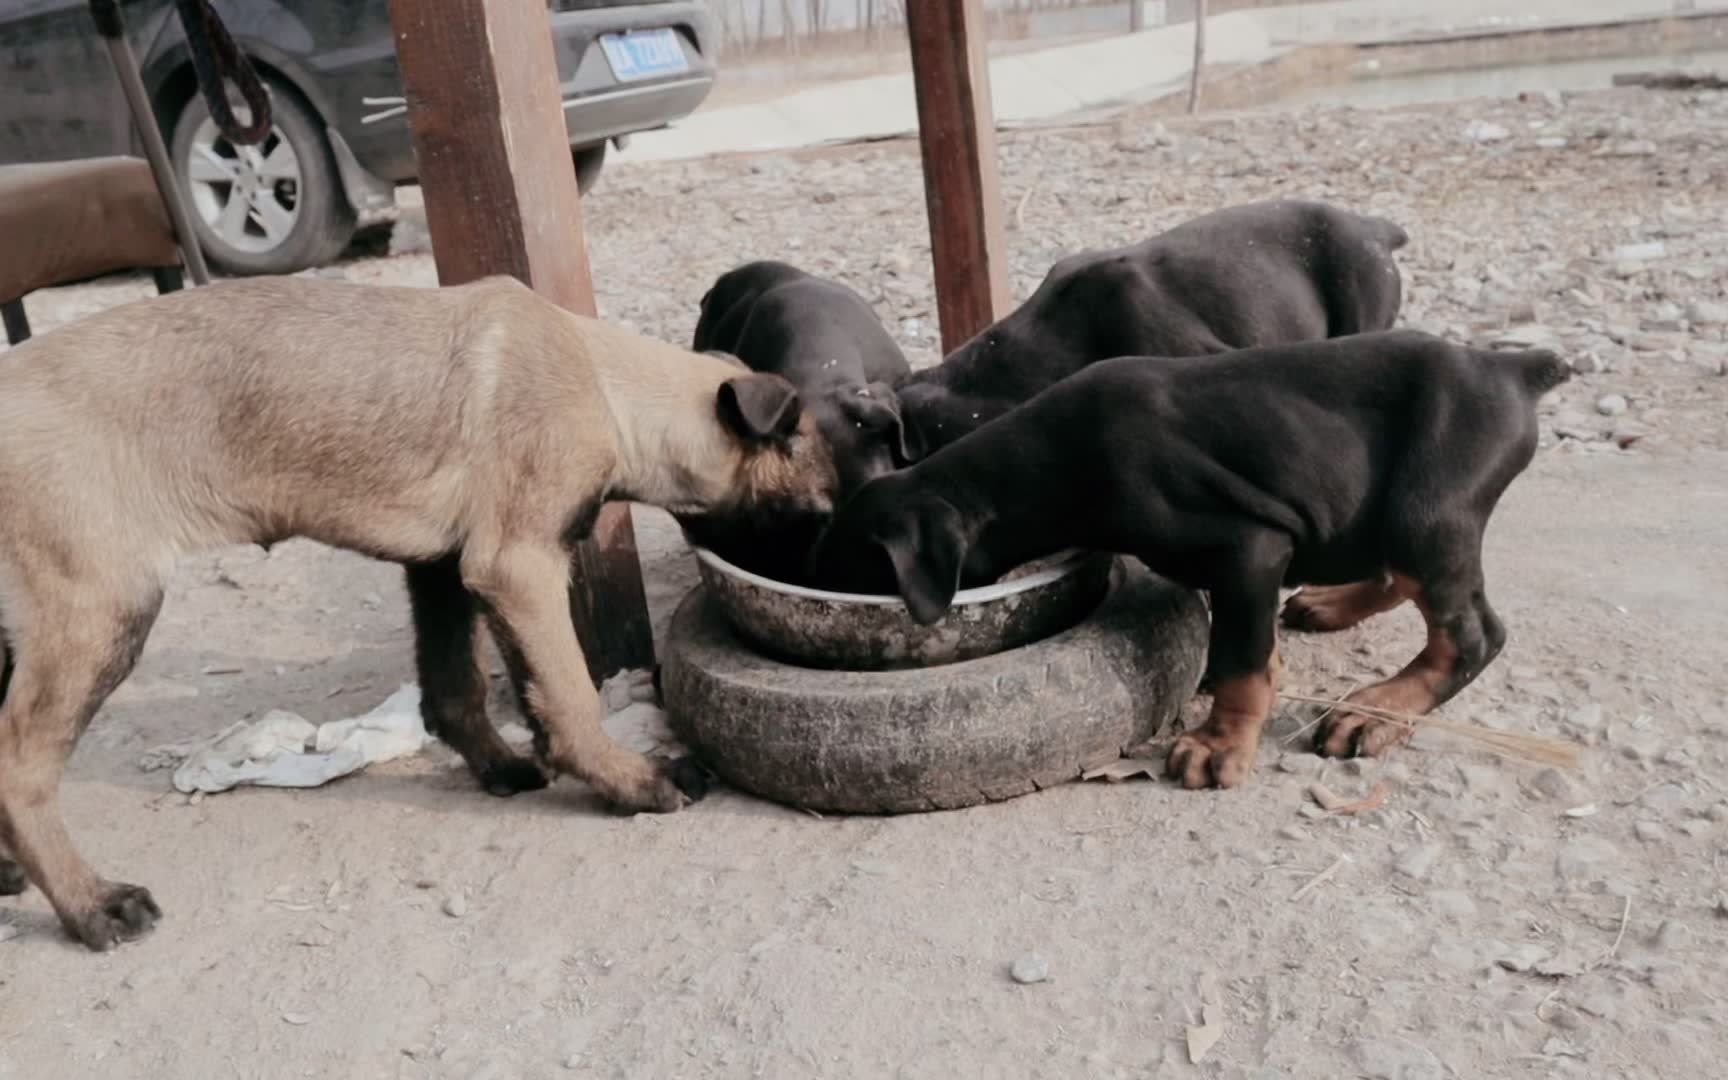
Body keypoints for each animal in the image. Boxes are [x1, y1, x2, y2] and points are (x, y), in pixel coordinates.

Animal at [0, 273, 836, 946]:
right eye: (819, 511)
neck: (606, 382)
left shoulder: (444, 571)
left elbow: (461, 688)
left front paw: (507, 765)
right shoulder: (518, 564)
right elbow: (569, 690)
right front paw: (628, 780)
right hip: (102, 610)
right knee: (19, 765)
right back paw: (90, 904)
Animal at [808, 328, 1569, 784]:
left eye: (852, 568)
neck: (1050, 464)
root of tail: (1512, 366)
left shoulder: (1250, 548)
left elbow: (1238, 661)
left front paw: (1218, 746)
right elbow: (1250, 645)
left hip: (1427, 508)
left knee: (1471, 635)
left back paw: (1376, 712)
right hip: (1381, 512)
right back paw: (1331, 606)